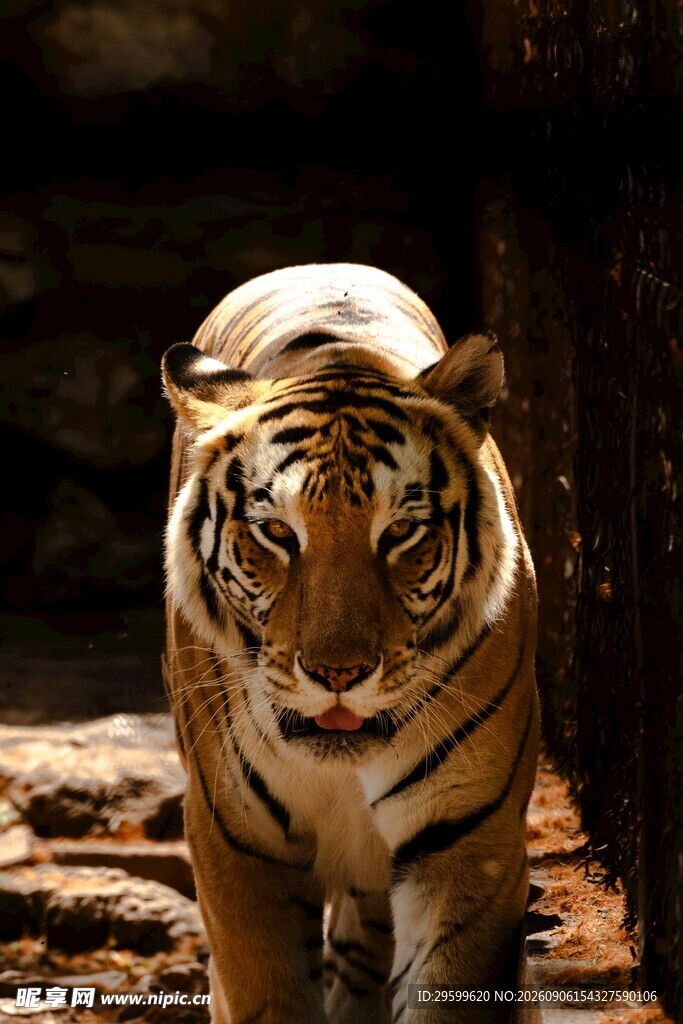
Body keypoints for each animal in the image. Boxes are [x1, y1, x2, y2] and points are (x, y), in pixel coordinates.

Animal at [162, 263, 539, 1024]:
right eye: (277, 532)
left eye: (401, 532)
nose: (338, 673)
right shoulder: (235, 843)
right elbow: (264, 991)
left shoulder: (467, 844)